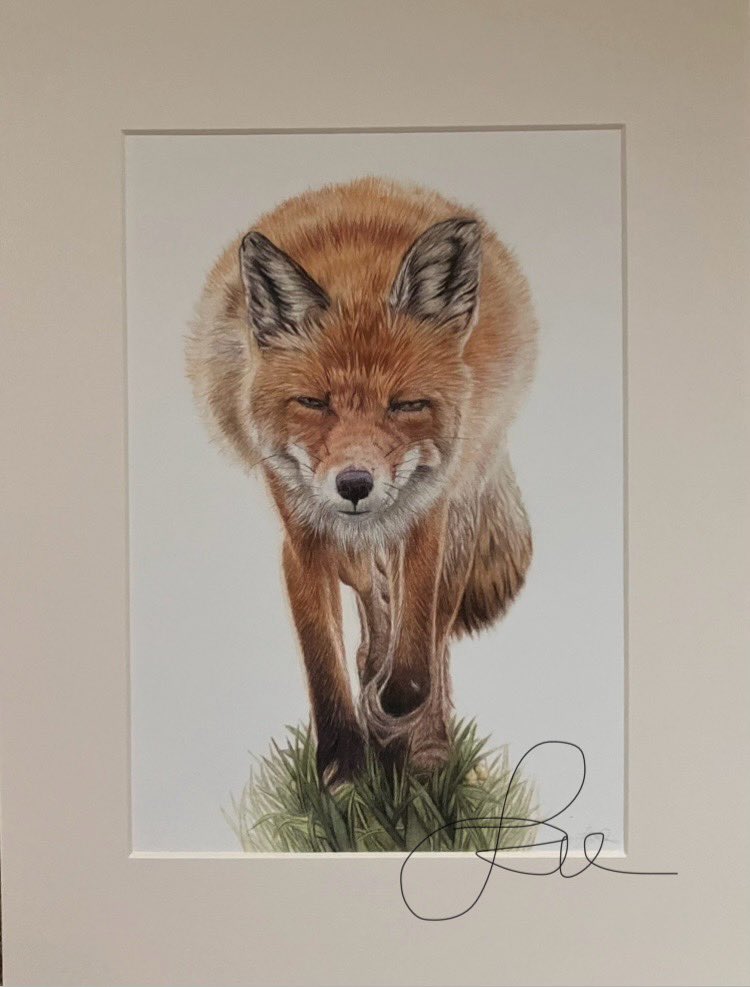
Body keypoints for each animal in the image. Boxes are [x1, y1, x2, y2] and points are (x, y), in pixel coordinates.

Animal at [187, 177, 537, 788]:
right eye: (313, 403)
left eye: (406, 405)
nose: (354, 484)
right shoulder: (303, 536)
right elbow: (322, 656)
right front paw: (342, 762)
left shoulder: (428, 514)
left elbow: (418, 646)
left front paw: (394, 710)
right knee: (370, 604)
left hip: (462, 509)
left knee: (431, 632)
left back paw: (425, 744)